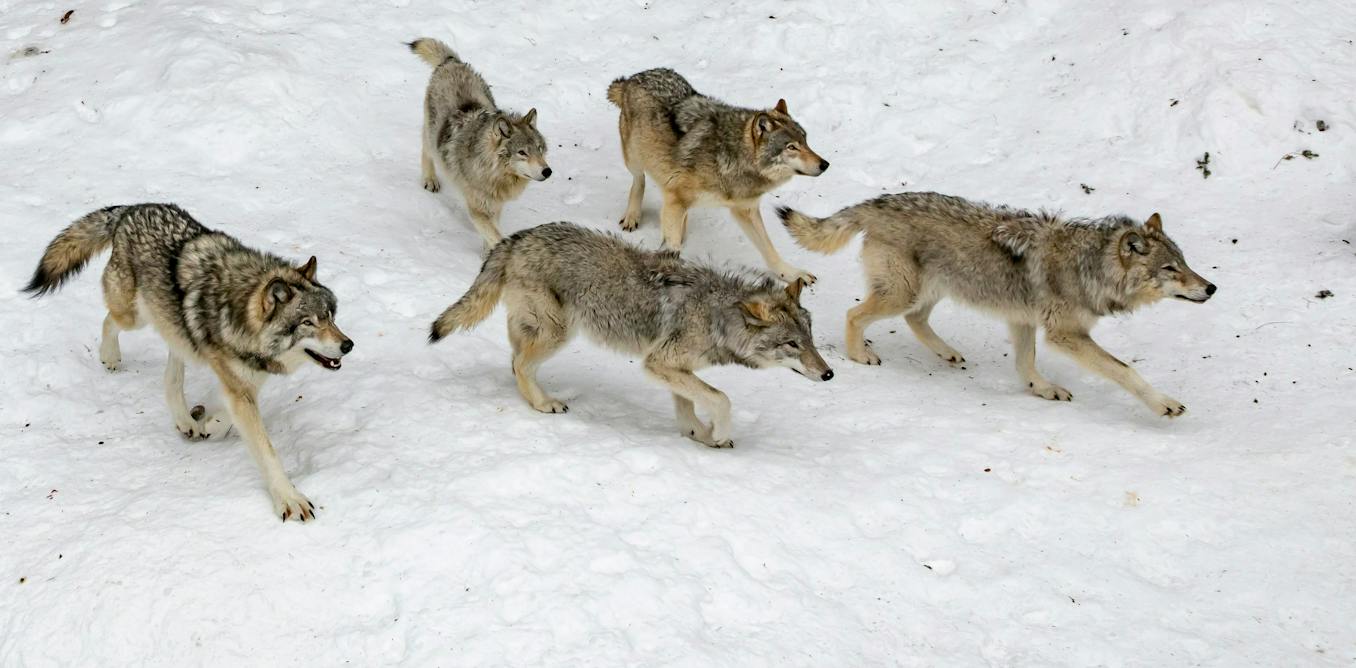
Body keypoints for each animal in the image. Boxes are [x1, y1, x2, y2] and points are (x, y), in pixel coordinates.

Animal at [24, 204, 354, 520]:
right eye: (308, 323)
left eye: (330, 317)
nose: (348, 345)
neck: (240, 316)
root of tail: (130, 209)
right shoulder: (240, 387)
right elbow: (266, 451)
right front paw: (289, 499)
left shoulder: (245, 382)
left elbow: (227, 416)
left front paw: (210, 425)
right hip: (135, 317)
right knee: (110, 321)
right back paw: (110, 357)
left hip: (174, 329)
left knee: (172, 373)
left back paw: (185, 420)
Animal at [409, 37, 551, 247]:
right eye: (522, 153)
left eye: (540, 149)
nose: (547, 171)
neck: (492, 173)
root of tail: (452, 63)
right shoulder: (478, 210)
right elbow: (496, 236)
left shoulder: (496, 207)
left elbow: (491, 235)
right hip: (431, 134)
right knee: (426, 151)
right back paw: (430, 180)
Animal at [428, 222, 833, 447]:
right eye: (792, 344)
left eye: (811, 340)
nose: (829, 374)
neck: (717, 315)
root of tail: (516, 237)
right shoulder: (659, 363)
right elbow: (721, 399)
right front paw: (717, 433)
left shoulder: (672, 368)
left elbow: (689, 405)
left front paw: (699, 436)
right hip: (558, 333)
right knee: (520, 364)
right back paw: (544, 404)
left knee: (514, 361)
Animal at [606, 68, 828, 285]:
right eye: (791, 147)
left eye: (805, 141)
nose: (825, 164)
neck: (731, 157)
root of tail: (634, 77)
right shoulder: (676, 199)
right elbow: (673, 245)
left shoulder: (745, 210)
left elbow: (769, 249)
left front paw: (792, 274)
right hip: (634, 158)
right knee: (639, 181)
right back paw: (632, 216)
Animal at [779, 192, 1216, 417]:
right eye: (1171, 269)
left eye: (1185, 263)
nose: (1212, 288)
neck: (1089, 267)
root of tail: (878, 201)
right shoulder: (1065, 335)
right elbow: (1126, 371)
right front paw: (1164, 404)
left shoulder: (1023, 320)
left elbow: (1026, 364)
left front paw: (1042, 389)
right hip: (904, 292)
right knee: (855, 314)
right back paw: (860, 355)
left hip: (931, 291)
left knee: (915, 320)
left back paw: (948, 353)